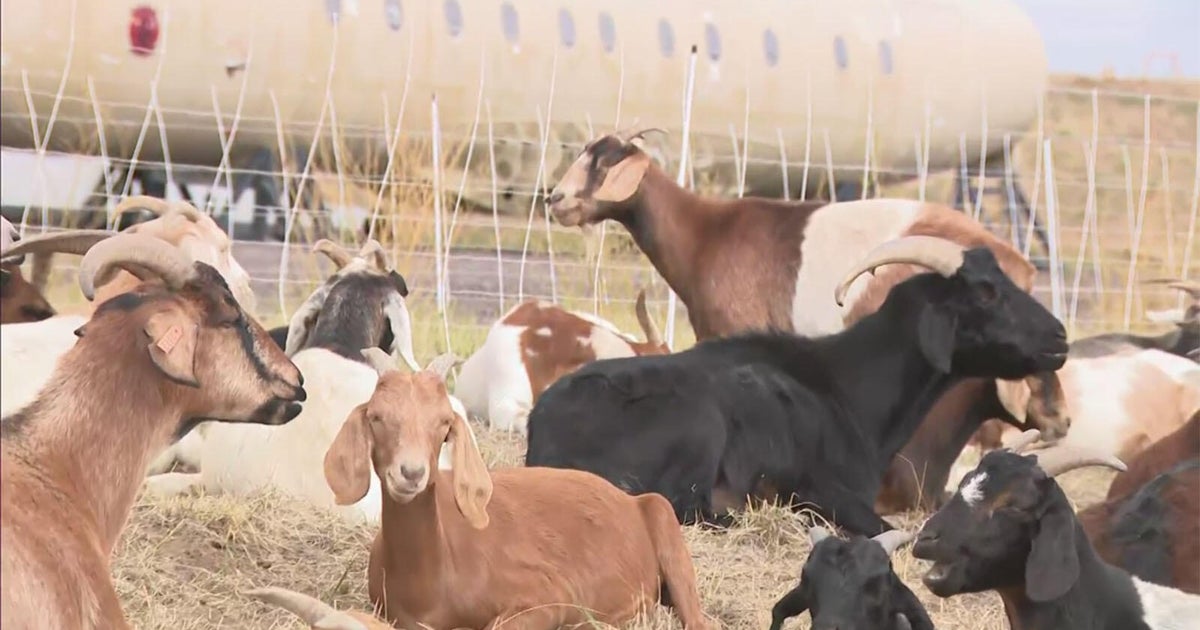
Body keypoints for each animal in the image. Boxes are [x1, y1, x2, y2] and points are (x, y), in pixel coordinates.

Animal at [325, 347, 711, 629]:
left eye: (444, 422)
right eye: (376, 417)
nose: (411, 473)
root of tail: (626, 498)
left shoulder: (550, 596)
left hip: (663, 519)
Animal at [525, 235, 1069, 535]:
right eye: (985, 293)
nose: (1060, 336)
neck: (849, 388)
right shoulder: (826, 489)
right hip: (701, 427)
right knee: (688, 509)